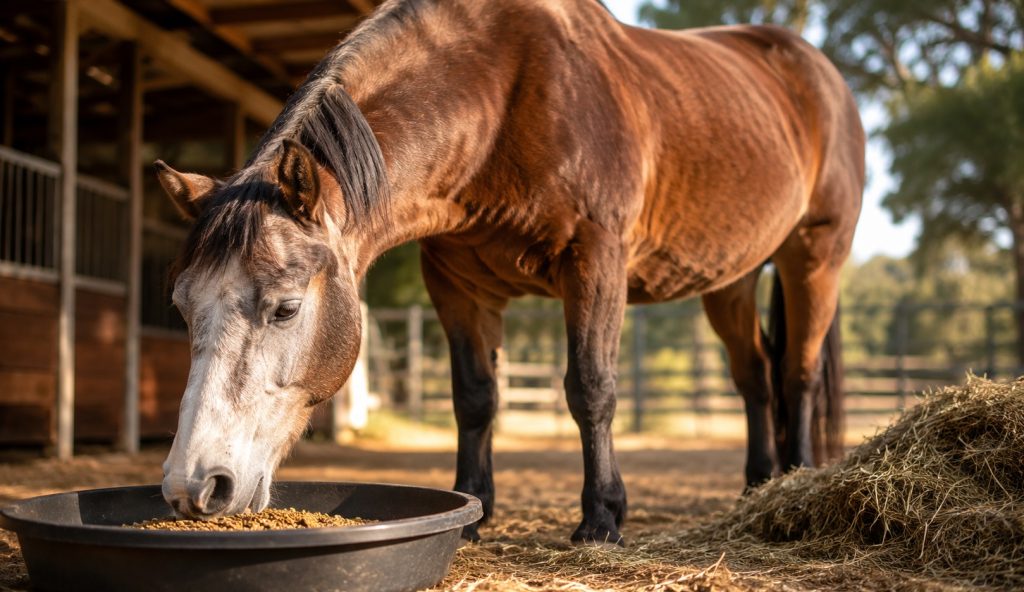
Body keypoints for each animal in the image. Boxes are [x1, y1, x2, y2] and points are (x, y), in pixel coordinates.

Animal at [155, 0, 864, 545]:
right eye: (183, 310)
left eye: (287, 308)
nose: (194, 486)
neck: (506, 99)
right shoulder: (456, 285)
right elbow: (475, 397)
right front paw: (472, 511)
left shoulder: (595, 263)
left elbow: (591, 389)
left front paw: (602, 518)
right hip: (730, 280)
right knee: (755, 376)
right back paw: (757, 485)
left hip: (814, 258)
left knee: (796, 372)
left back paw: (797, 478)